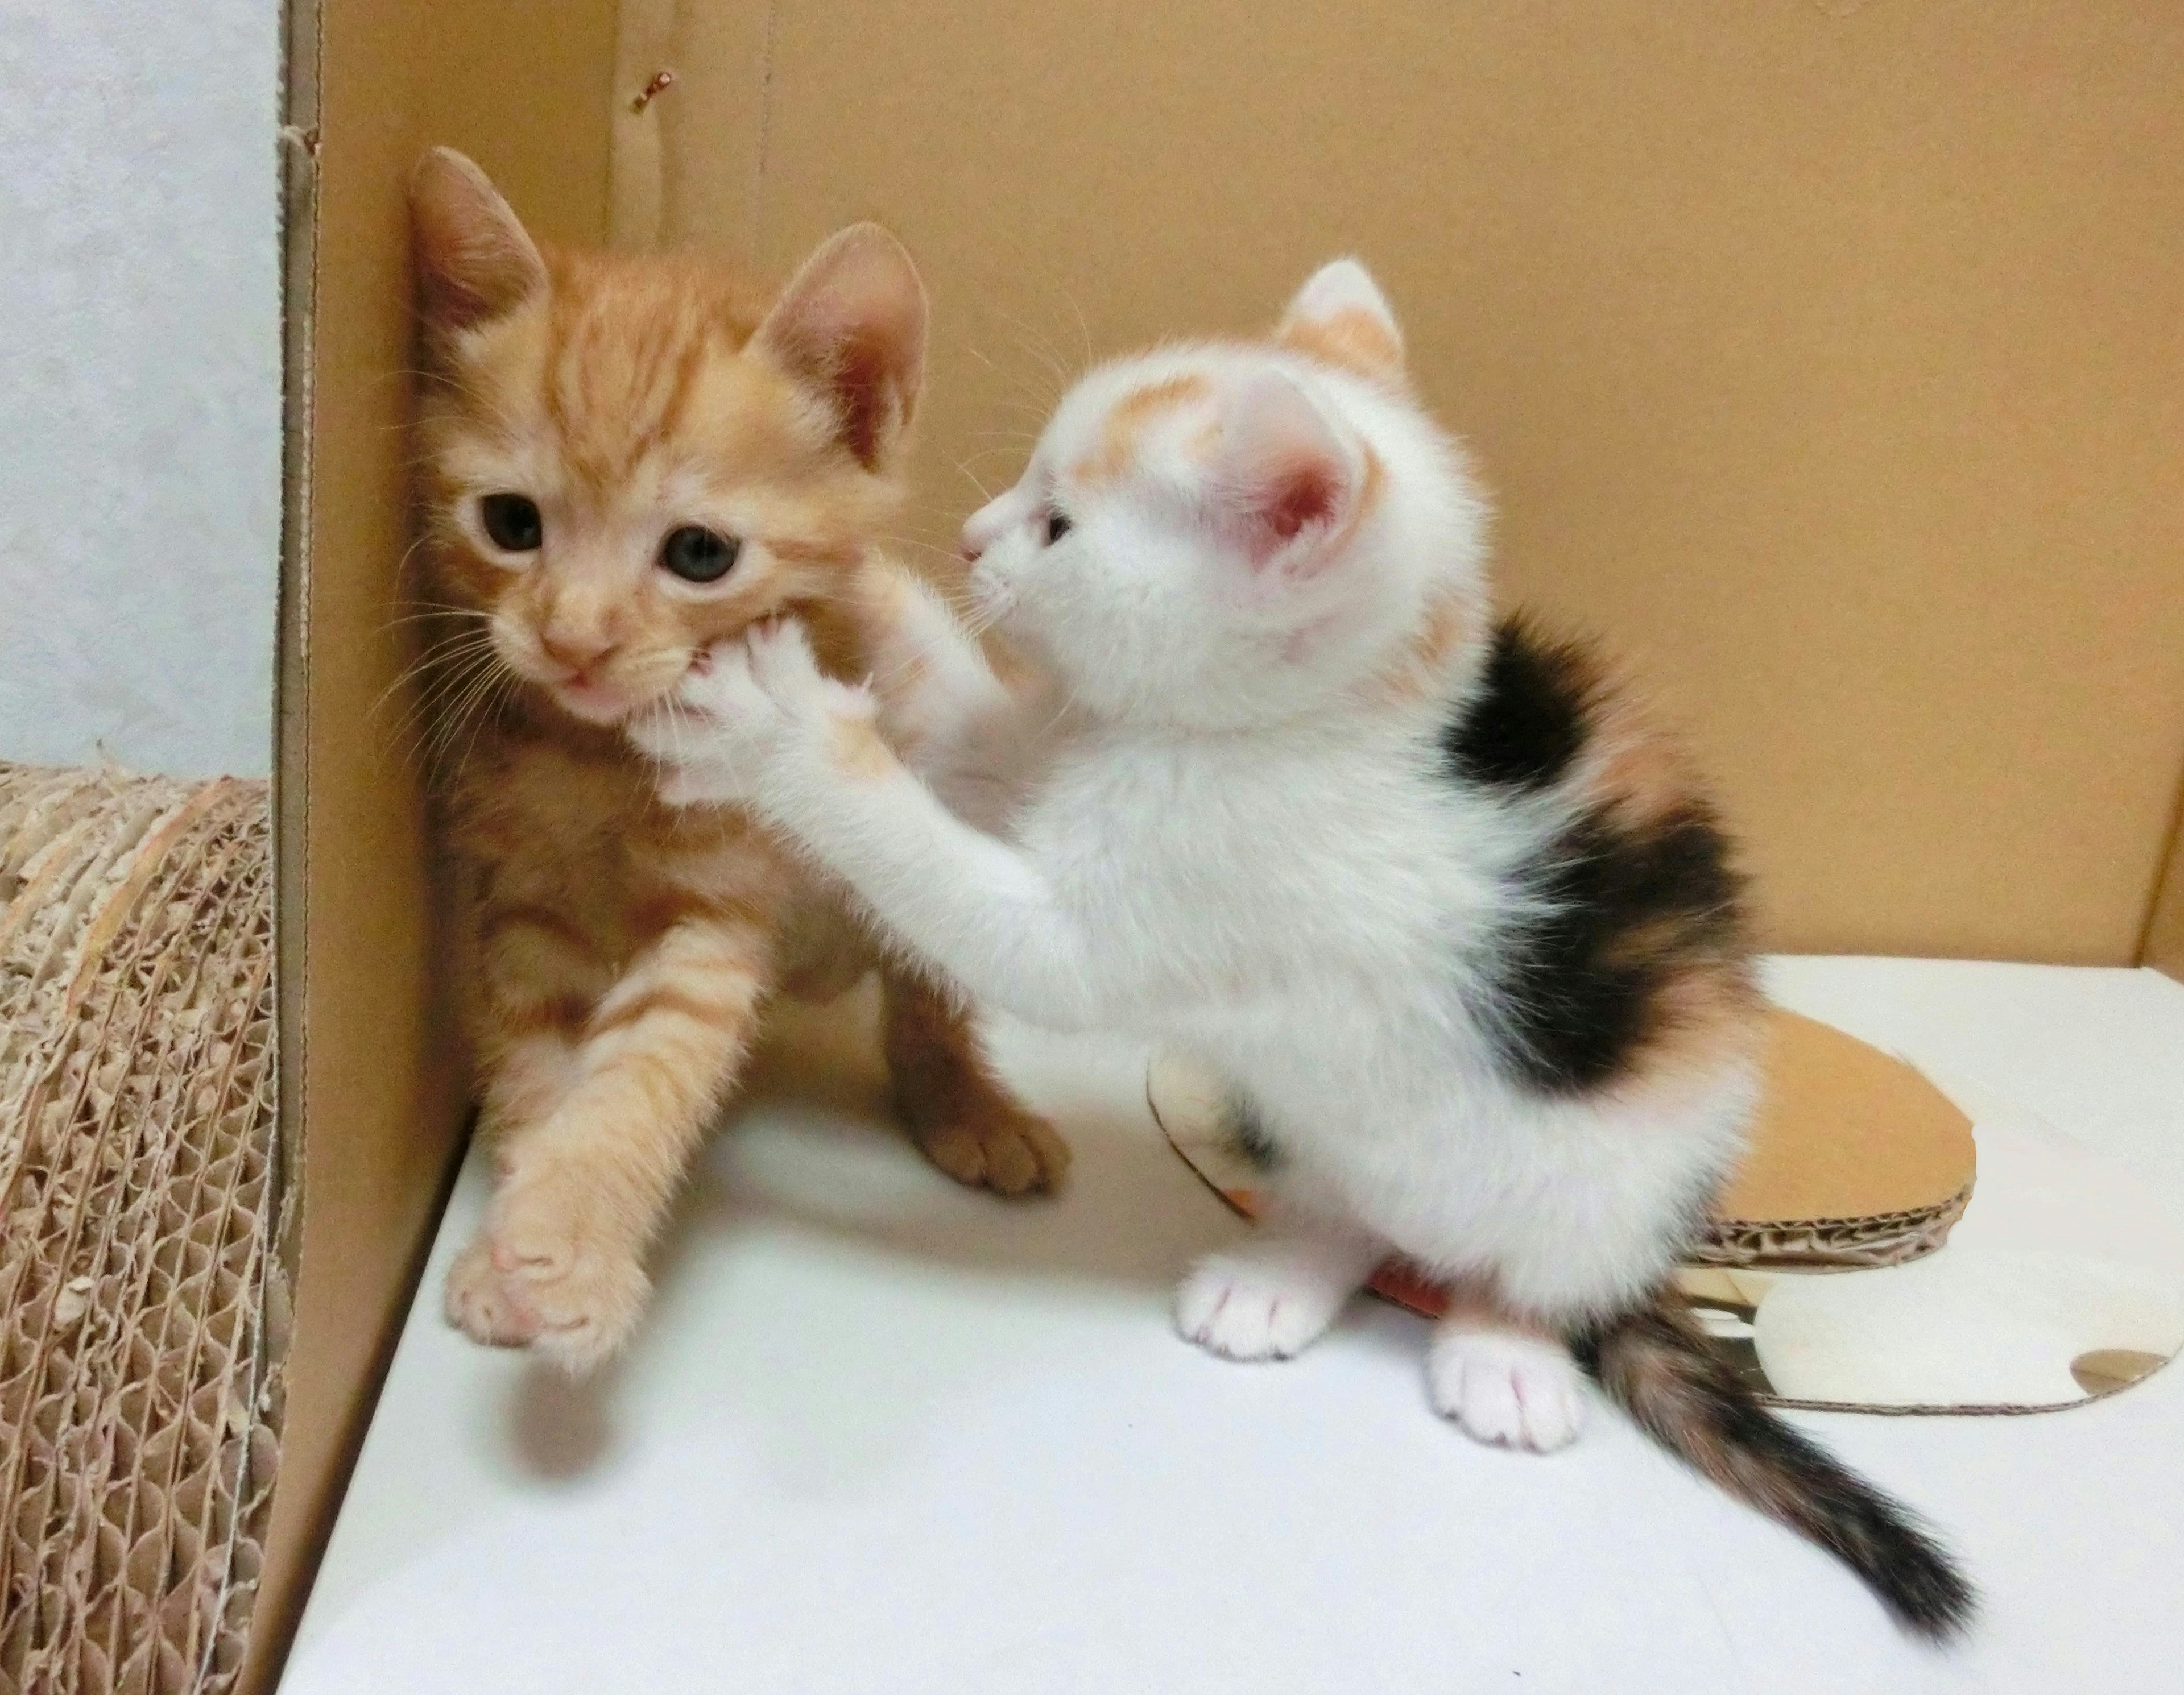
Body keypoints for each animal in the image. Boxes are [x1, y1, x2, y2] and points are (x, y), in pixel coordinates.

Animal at [412, 139, 1070, 1371]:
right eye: (512, 524)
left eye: (699, 554)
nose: (572, 638)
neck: (603, 762)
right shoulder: (520, 905)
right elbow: (540, 1065)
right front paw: (511, 1244)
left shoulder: (717, 907)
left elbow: (649, 1065)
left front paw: (572, 1241)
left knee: (924, 988)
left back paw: (969, 1103)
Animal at [628, 261, 1966, 1625]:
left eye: (1060, 527)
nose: (969, 537)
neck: (1299, 724)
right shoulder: (1059, 748)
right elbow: (970, 732)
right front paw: (865, 579)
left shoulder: (1171, 896)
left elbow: (965, 889)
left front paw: (775, 726)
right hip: (1324, 1120)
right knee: (1355, 1212)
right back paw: (1281, 1273)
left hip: (1624, 1168)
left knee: (1544, 1269)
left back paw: (1505, 1350)